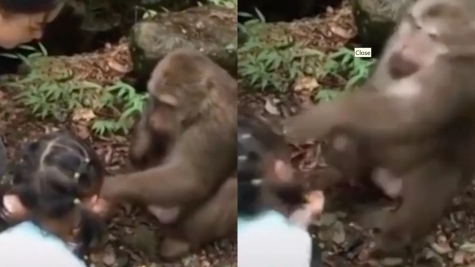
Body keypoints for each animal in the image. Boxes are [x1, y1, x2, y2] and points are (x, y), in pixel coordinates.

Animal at [98, 47, 238, 260]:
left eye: (169, 105)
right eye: (156, 100)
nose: (156, 119)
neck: (201, 109)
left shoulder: (214, 128)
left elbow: (190, 178)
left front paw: (110, 186)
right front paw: (139, 147)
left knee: (232, 187)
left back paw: (182, 240)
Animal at [282, 0, 475, 256]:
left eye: (431, 36)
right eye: (415, 25)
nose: (407, 47)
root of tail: (391, 185)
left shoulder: (457, 73)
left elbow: (408, 115)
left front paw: (310, 122)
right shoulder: (395, 40)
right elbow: (375, 93)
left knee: (435, 176)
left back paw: (391, 238)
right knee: (346, 140)